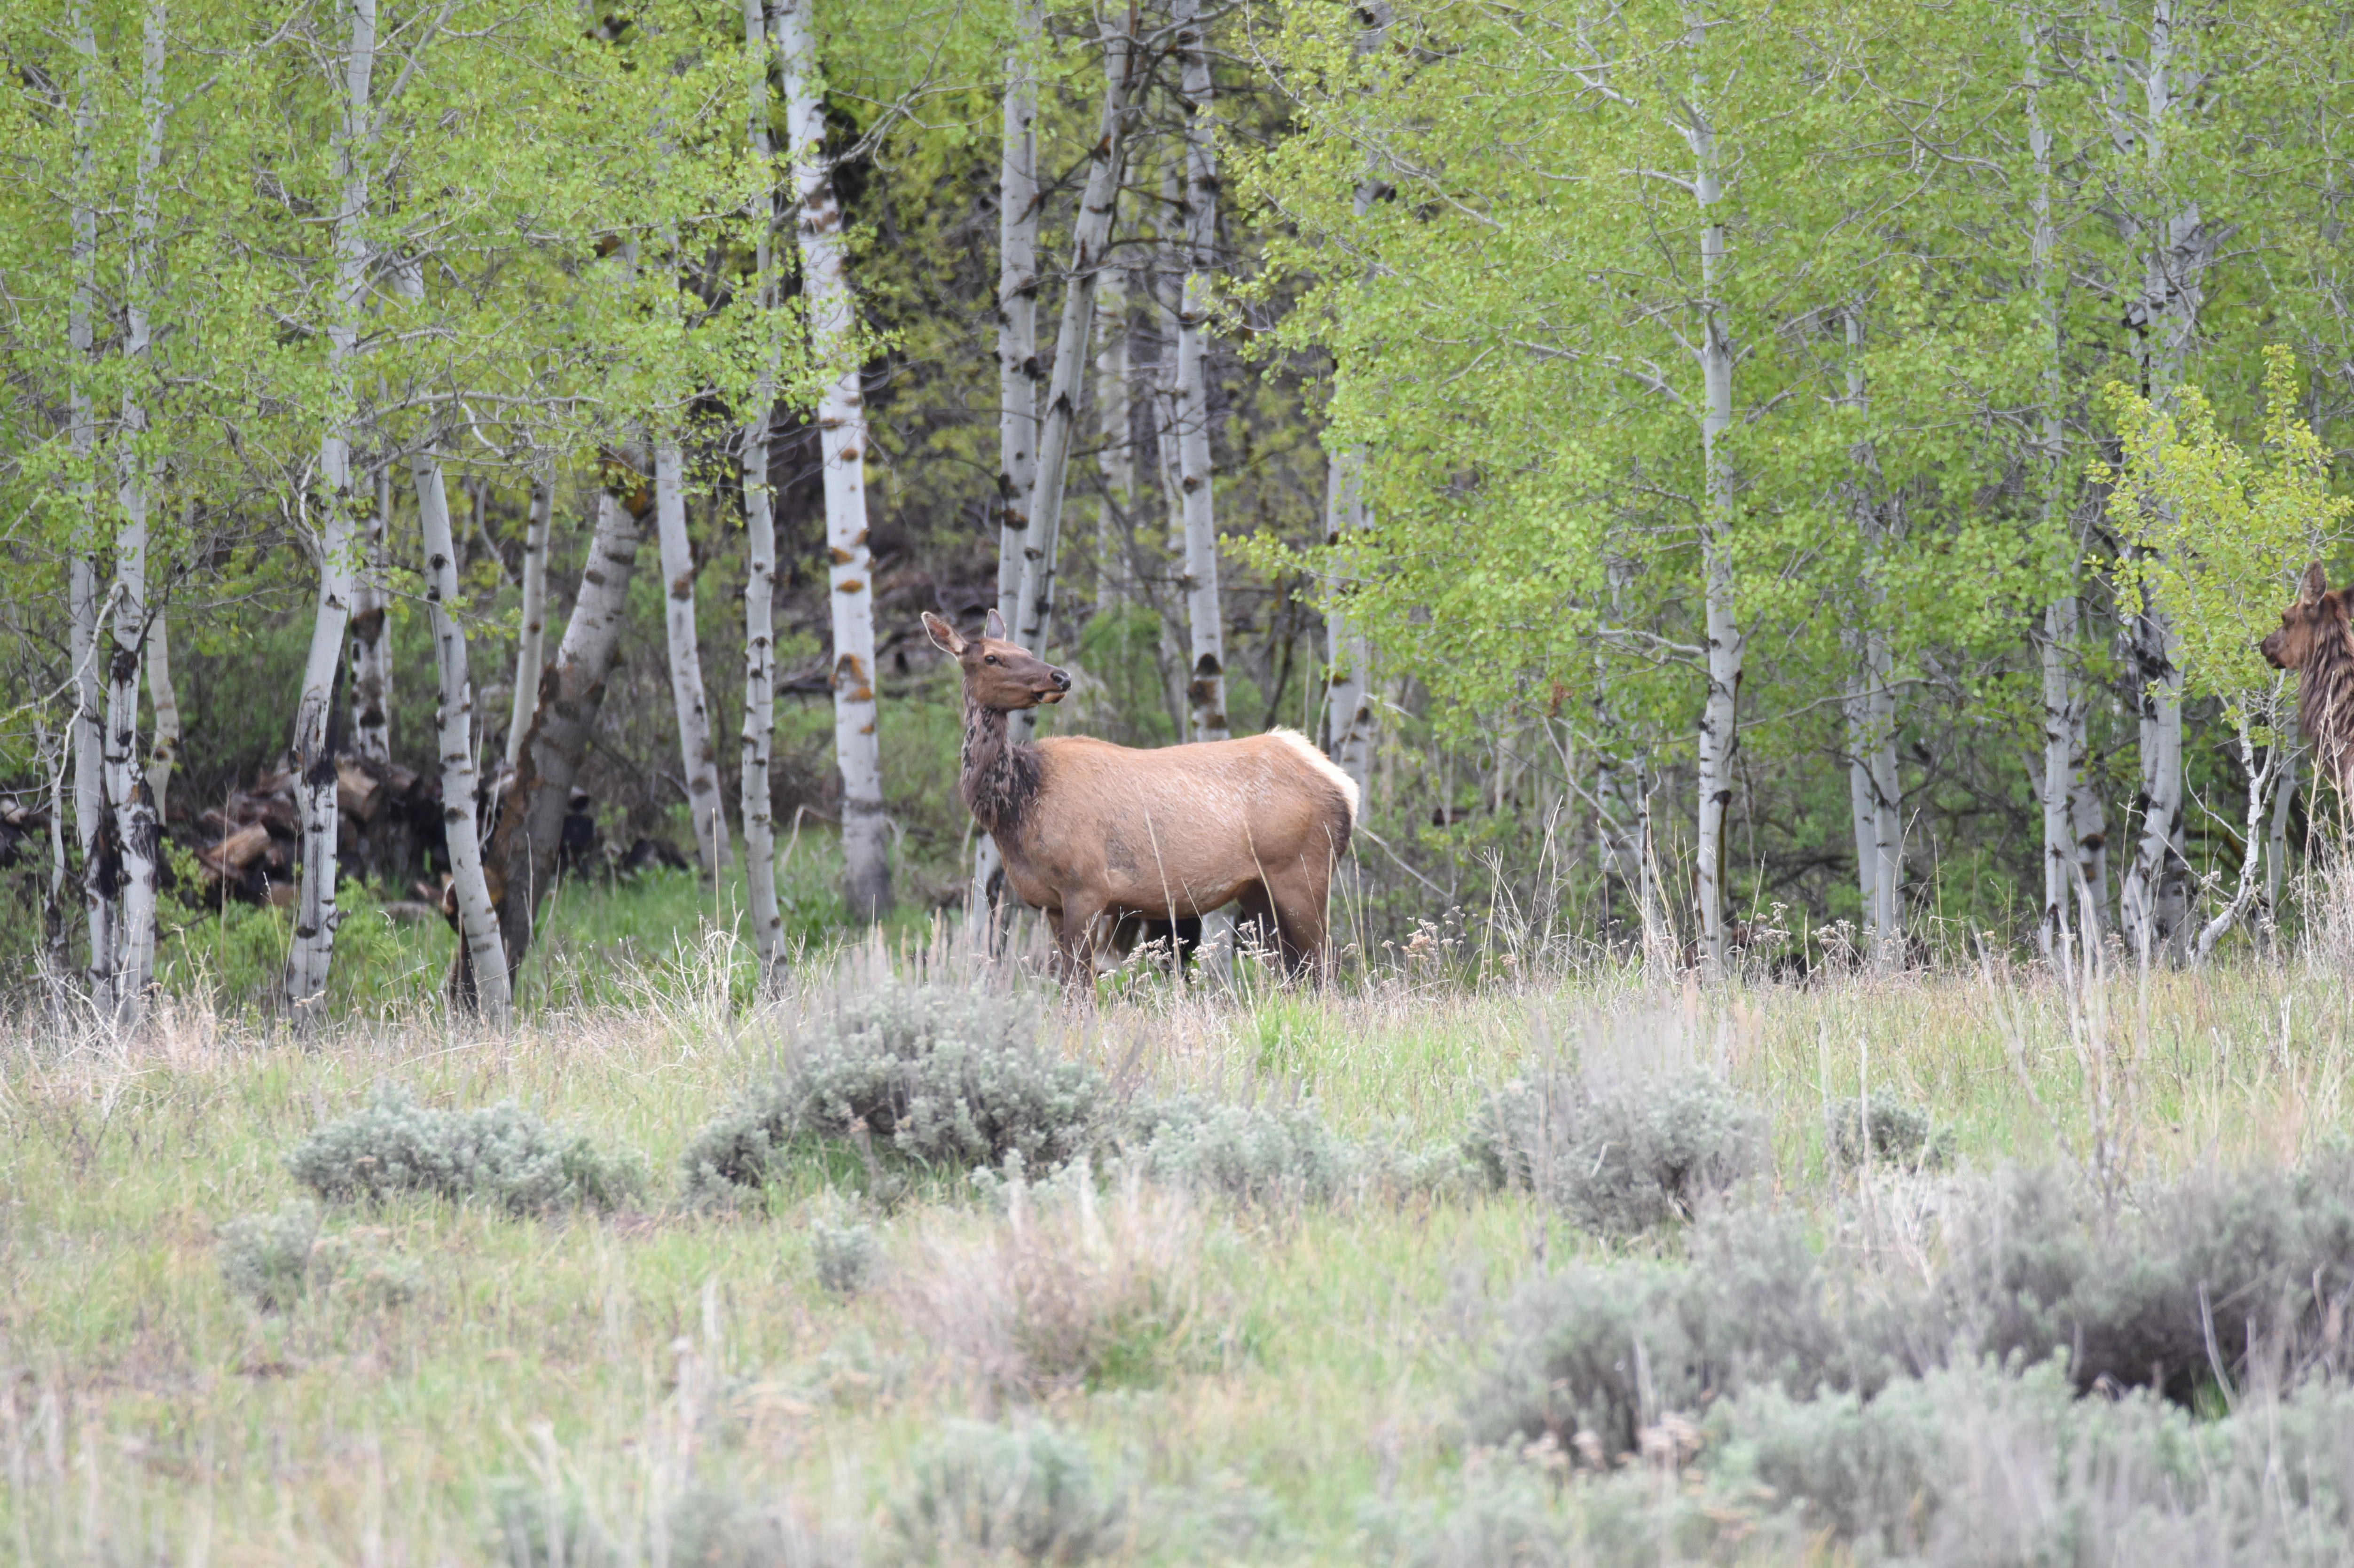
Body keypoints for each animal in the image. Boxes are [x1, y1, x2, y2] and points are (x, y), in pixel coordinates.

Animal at [924, 609, 1359, 983]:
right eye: (993, 657)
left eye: (1027, 652)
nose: (1060, 677)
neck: (1018, 809)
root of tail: (1344, 787)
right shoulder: (1050, 903)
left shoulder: (1088, 887)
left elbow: (1080, 987)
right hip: (1256, 889)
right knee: (1293, 972)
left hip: (1303, 870)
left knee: (1325, 966)